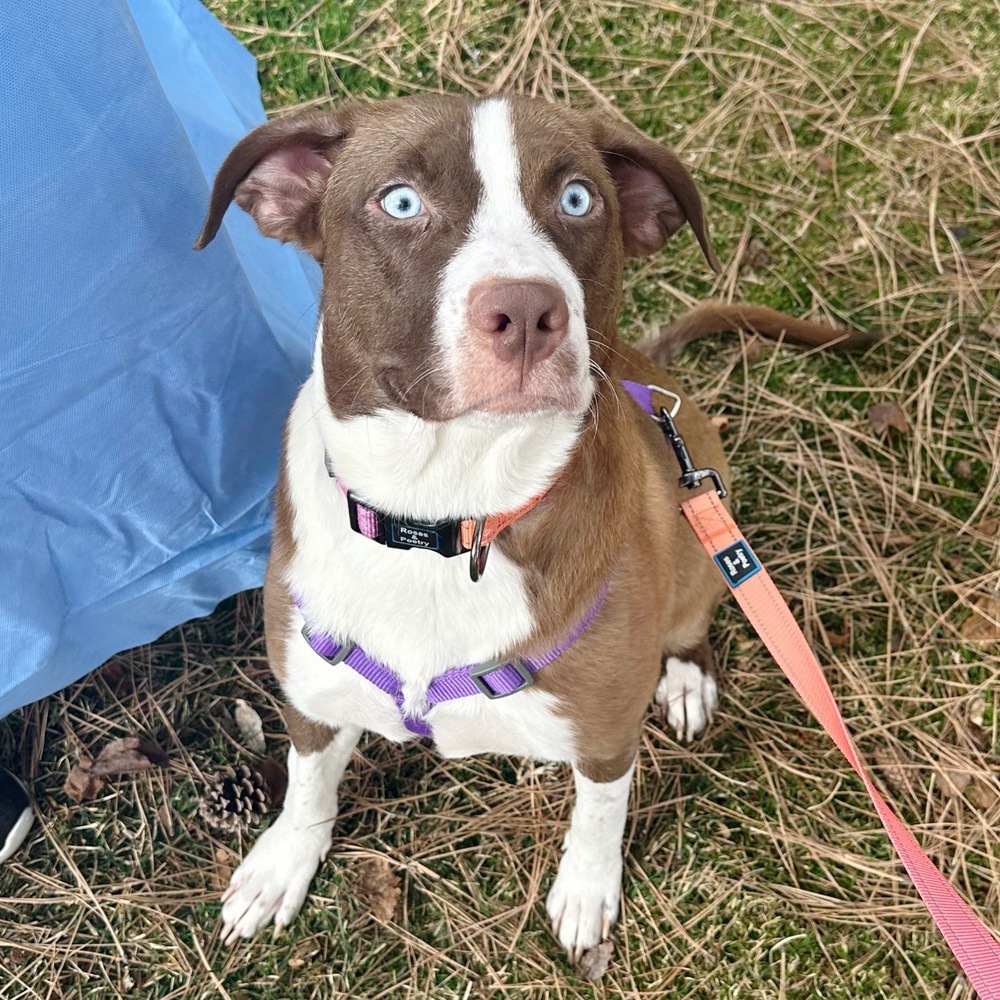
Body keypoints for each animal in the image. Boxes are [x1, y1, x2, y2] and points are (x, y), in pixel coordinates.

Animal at [197, 95, 868, 960]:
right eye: (400, 201)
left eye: (578, 199)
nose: (524, 311)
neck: (447, 516)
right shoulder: (312, 692)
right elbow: (310, 784)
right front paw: (283, 862)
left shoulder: (607, 731)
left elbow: (599, 815)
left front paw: (586, 894)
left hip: (700, 547)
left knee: (692, 620)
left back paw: (687, 678)